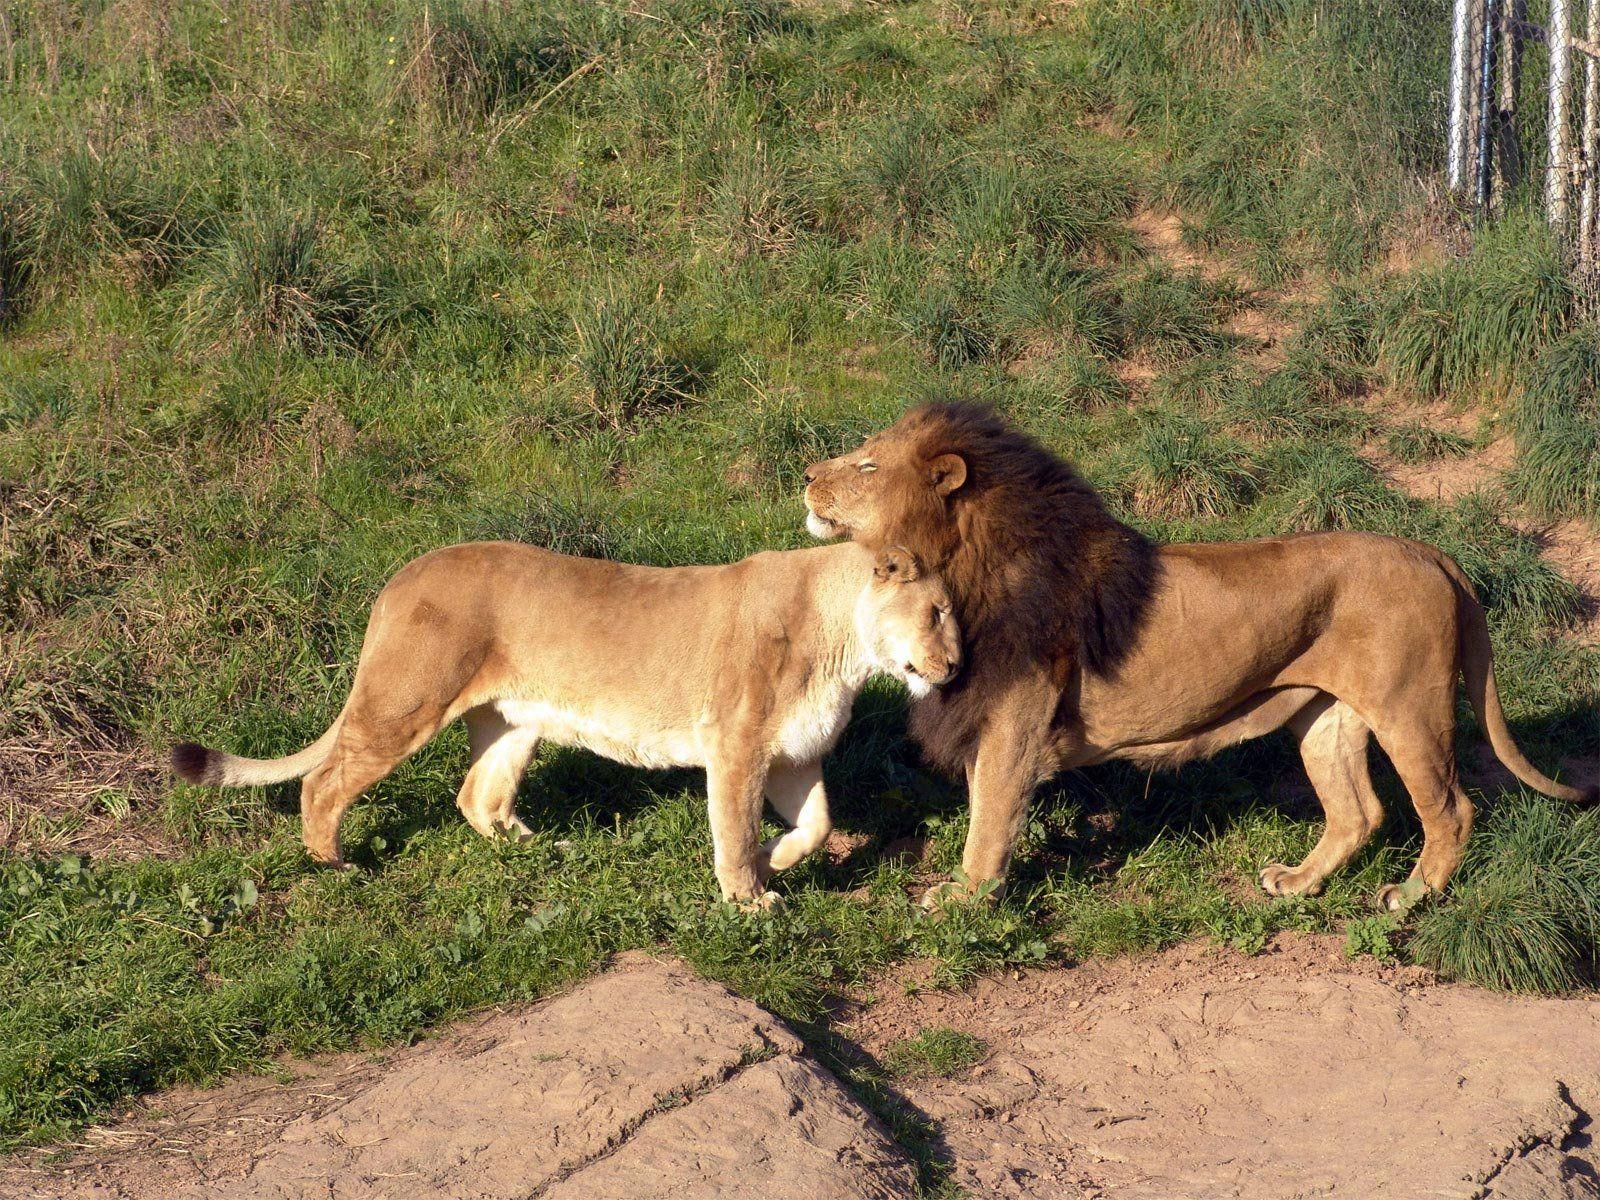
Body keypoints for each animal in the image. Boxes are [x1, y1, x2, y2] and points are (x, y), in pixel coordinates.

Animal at [170, 539, 960, 905]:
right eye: (937, 612)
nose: (954, 666)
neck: (845, 647)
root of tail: (400, 578)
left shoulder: (793, 754)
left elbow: (818, 826)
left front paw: (774, 864)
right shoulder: (736, 747)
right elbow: (733, 831)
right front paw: (749, 899)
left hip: (513, 722)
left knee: (476, 796)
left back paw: (539, 849)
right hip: (406, 702)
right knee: (326, 781)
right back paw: (333, 863)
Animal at [804, 402, 1595, 910]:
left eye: (867, 463)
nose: (808, 474)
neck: (955, 568)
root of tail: (1431, 552)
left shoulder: (1013, 724)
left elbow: (989, 820)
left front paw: (964, 900)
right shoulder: (987, 715)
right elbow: (980, 808)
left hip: (1411, 710)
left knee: (1452, 810)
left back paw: (1409, 896)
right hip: (1326, 716)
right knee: (1359, 812)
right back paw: (1298, 883)